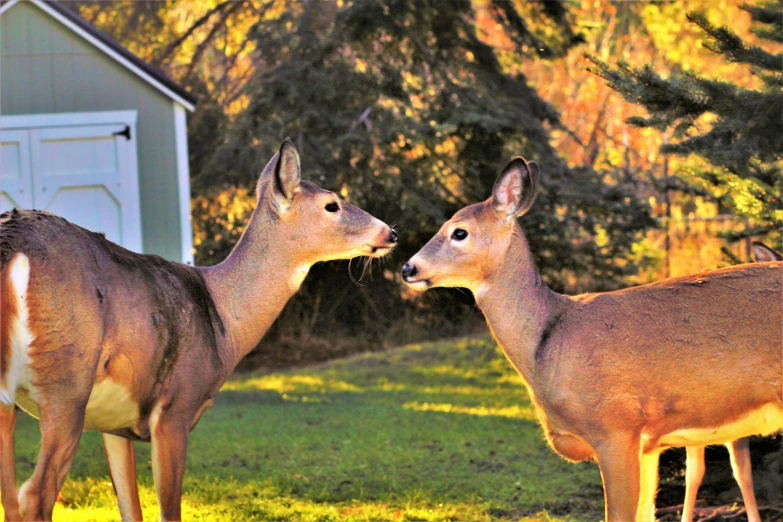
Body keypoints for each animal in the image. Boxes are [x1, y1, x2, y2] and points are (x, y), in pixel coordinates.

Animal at [0, 139, 396, 520]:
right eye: (332, 205)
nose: (390, 232)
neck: (224, 321)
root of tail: (12, 250)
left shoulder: (112, 423)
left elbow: (132, 510)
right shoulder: (176, 406)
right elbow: (168, 511)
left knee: (12, 497)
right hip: (67, 381)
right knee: (34, 494)